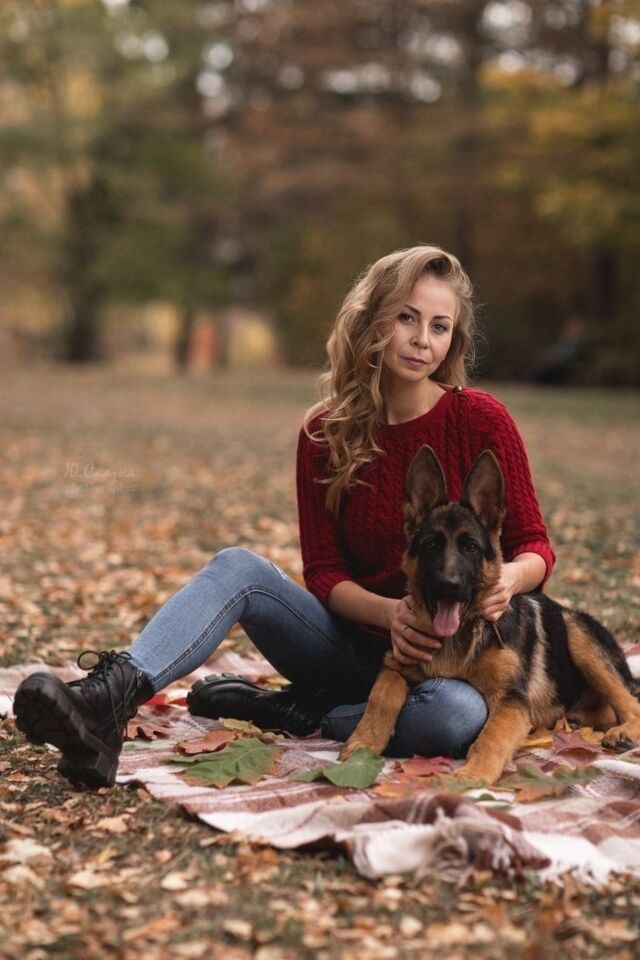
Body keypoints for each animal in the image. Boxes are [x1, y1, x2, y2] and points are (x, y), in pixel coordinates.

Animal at [339, 445, 640, 784]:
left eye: (471, 547)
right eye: (431, 545)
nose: (449, 586)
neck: (458, 638)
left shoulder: (511, 699)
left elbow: (491, 737)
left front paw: (472, 776)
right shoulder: (394, 664)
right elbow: (381, 695)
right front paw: (363, 743)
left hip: (577, 633)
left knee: (632, 704)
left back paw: (623, 732)